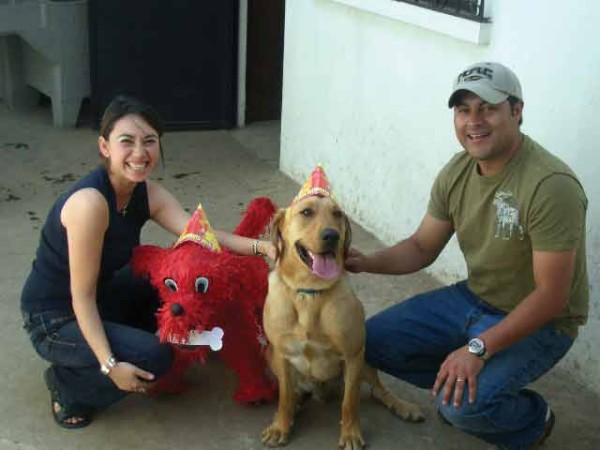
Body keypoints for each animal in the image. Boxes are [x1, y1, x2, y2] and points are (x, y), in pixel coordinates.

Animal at [131, 197, 276, 404]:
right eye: (169, 284)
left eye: (202, 285)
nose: (176, 309)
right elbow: (176, 356)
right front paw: (166, 385)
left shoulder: (237, 329)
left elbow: (247, 358)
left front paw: (256, 393)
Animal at [260, 195, 424, 448]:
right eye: (306, 212)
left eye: (337, 214)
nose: (332, 236)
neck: (310, 292)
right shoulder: (281, 353)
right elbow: (284, 398)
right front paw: (281, 426)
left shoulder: (353, 354)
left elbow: (350, 402)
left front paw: (350, 434)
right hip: (270, 355)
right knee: (295, 394)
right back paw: (296, 404)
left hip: (366, 356)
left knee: (378, 390)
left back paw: (403, 406)